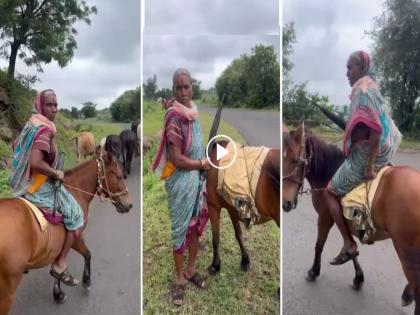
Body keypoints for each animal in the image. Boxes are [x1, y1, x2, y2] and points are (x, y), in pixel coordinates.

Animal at [0, 146, 132, 315]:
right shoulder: (76, 233)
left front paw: (58, 291)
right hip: (7, 291)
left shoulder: (58, 243)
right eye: (119, 176)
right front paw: (86, 281)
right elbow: (86, 254)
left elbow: (59, 262)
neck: (76, 190)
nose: (129, 204)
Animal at [206, 142, 278, 276]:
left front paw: (215, 265)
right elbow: (238, 234)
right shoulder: (232, 209)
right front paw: (245, 260)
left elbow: (216, 237)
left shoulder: (213, 206)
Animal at [282, 124, 420, 315]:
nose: (286, 203)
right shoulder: (345, 221)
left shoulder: (325, 217)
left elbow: (319, 245)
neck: (329, 171)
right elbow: (351, 249)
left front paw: (314, 271)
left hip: (405, 250)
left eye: (296, 161)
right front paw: (357, 276)